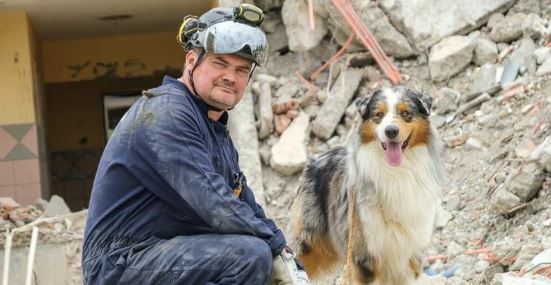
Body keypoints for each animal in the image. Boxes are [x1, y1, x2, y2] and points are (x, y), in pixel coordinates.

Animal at [292, 86, 446, 284]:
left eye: (405, 113)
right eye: (378, 115)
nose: (391, 131)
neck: (397, 173)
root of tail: (315, 159)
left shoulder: (411, 253)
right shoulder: (364, 256)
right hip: (308, 241)